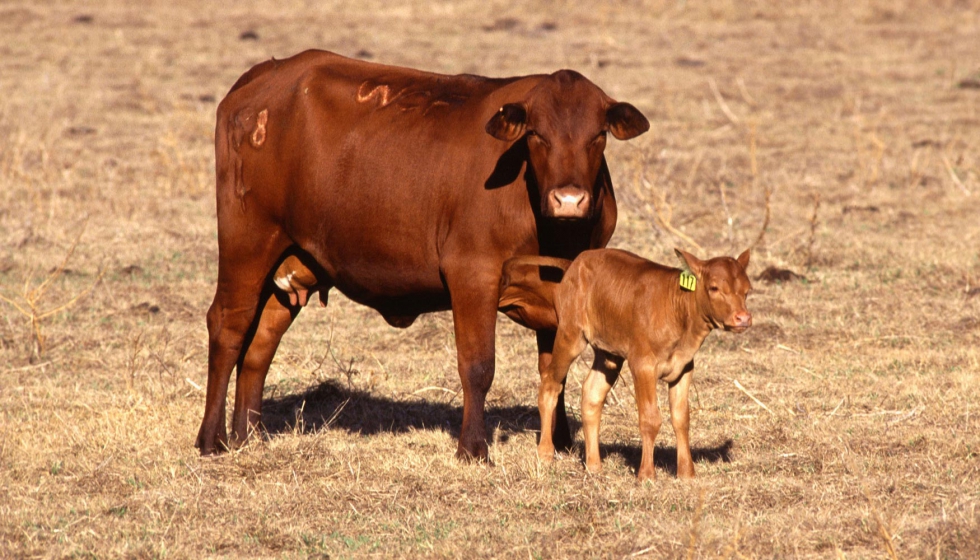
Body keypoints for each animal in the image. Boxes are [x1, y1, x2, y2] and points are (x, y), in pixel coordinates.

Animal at [194, 49, 648, 460]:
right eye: (537, 135)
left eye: (598, 136)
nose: (569, 199)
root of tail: (268, 72)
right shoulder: (472, 275)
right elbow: (477, 366)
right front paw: (473, 448)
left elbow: (556, 368)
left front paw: (561, 443)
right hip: (247, 242)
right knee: (229, 327)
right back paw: (211, 439)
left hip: (292, 260)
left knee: (260, 344)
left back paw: (248, 435)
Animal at [502, 249, 756, 482]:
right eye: (714, 288)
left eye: (747, 290)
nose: (743, 318)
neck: (678, 309)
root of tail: (577, 261)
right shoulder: (643, 365)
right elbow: (650, 418)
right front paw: (646, 475)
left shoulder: (684, 368)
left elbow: (681, 418)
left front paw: (687, 474)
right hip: (570, 334)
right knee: (550, 385)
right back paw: (545, 453)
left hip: (608, 354)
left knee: (592, 394)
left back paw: (594, 466)